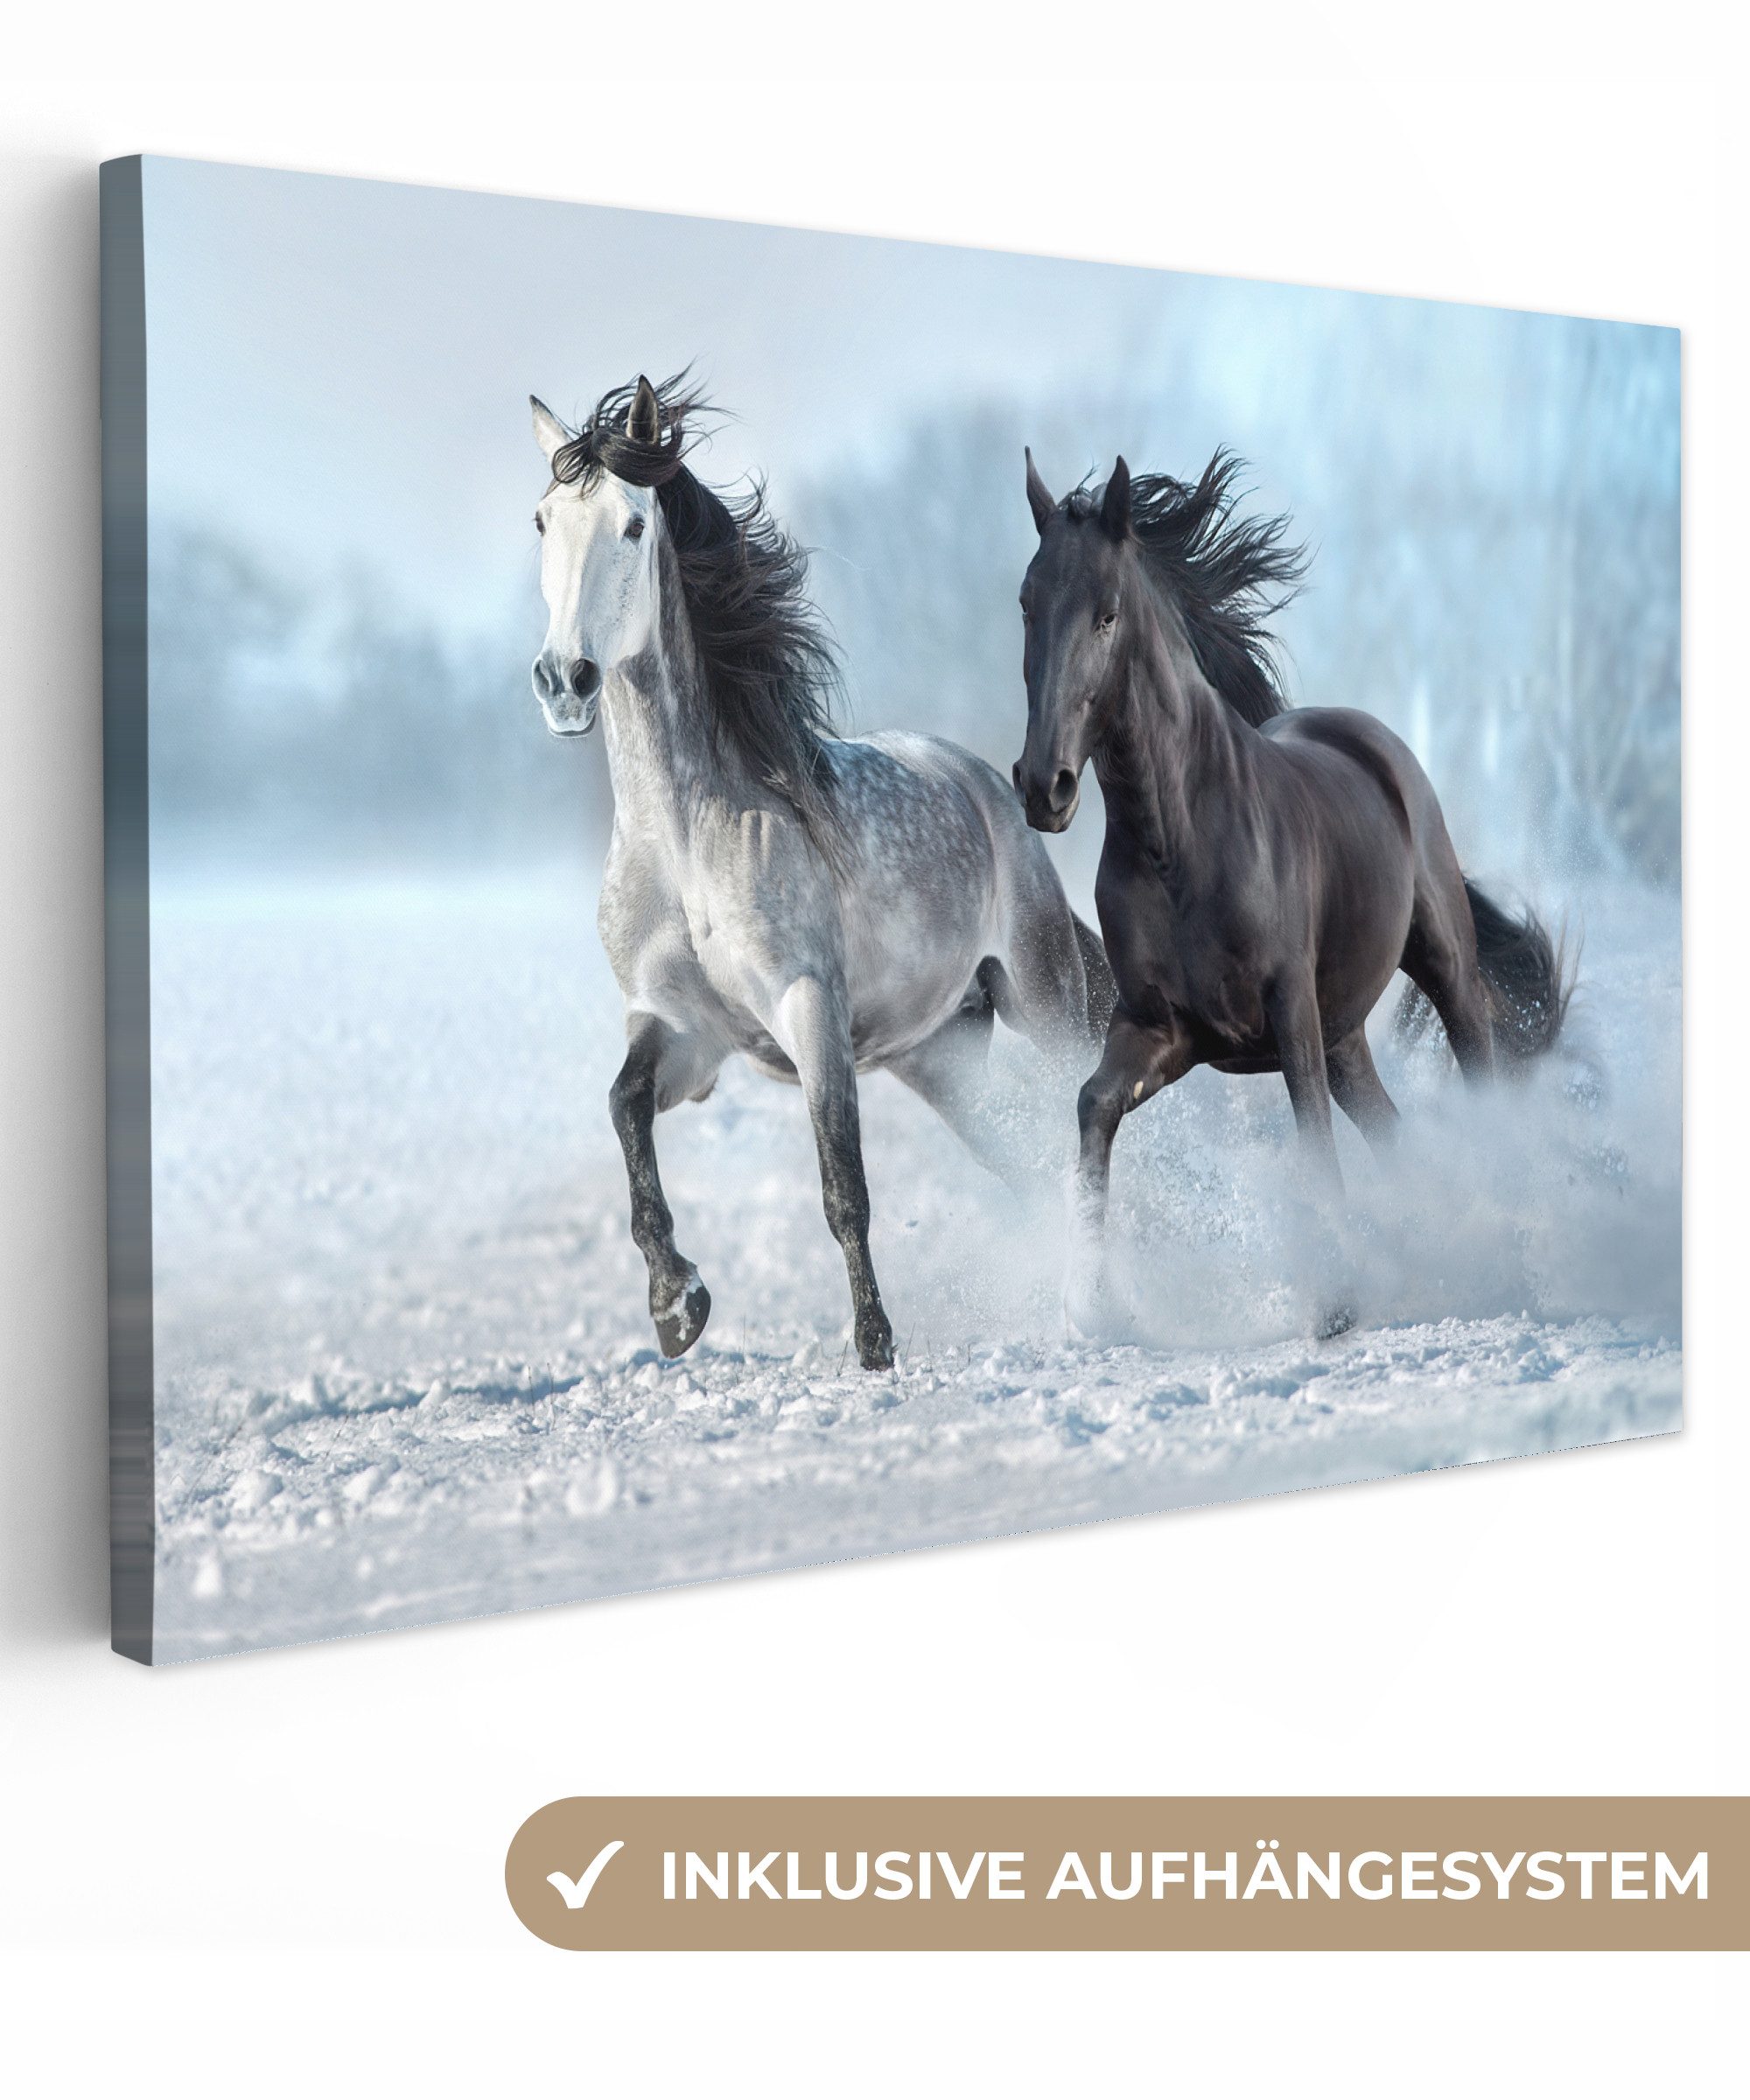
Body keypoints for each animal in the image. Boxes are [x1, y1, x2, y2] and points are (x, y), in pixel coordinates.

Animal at [528, 374, 1114, 1370]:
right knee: (1026, 1159)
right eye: (541, 521)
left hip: (1043, 1000)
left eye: (634, 526)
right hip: (938, 1056)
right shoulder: (682, 1030)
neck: (684, 842)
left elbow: (843, 1184)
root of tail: (989, 788)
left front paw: (873, 1344)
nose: (564, 680)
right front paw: (676, 1306)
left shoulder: (809, 1011)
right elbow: (624, 1111)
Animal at [1011, 445, 1571, 1338]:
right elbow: (1093, 1105)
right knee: (1393, 1131)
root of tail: (1372, 740)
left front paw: (1336, 1303)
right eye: (1027, 605)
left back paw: (1506, 1260)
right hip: (1346, 1034)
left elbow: (1312, 1142)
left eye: (1106, 614)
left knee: (1478, 1077)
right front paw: (1090, 1305)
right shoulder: (1163, 1028)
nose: (1045, 787)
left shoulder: (1287, 1014)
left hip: (1439, 966)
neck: (1179, 843)